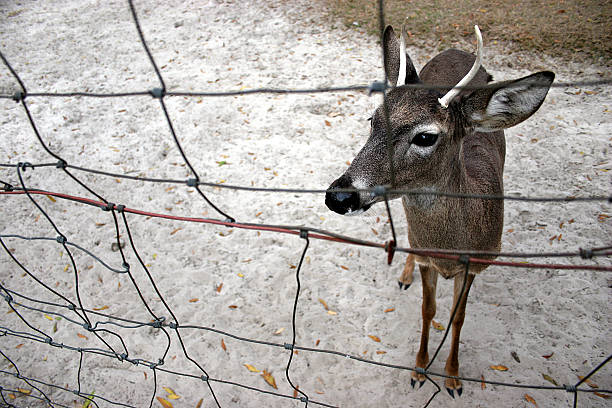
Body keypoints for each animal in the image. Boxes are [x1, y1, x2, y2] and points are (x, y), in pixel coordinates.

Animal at [326, 24, 556, 396]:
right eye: (372, 120)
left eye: (425, 137)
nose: (339, 196)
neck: (450, 248)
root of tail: (454, 50)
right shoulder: (427, 259)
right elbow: (428, 309)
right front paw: (420, 369)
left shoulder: (476, 263)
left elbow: (457, 317)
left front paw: (453, 376)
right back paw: (404, 274)